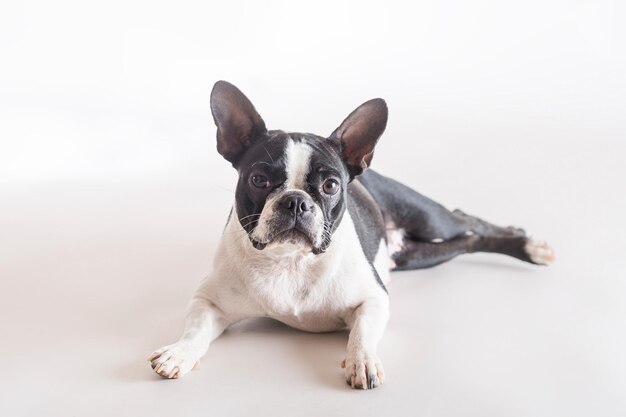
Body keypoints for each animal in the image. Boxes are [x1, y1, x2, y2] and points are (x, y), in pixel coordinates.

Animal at [147, 80, 552, 386]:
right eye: (259, 180)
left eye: (330, 185)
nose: (295, 202)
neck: (291, 261)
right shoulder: (208, 301)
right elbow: (195, 329)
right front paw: (179, 352)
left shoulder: (373, 298)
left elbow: (362, 332)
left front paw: (363, 361)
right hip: (419, 255)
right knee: (466, 241)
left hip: (428, 218)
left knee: (467, 220)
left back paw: (530, 244)